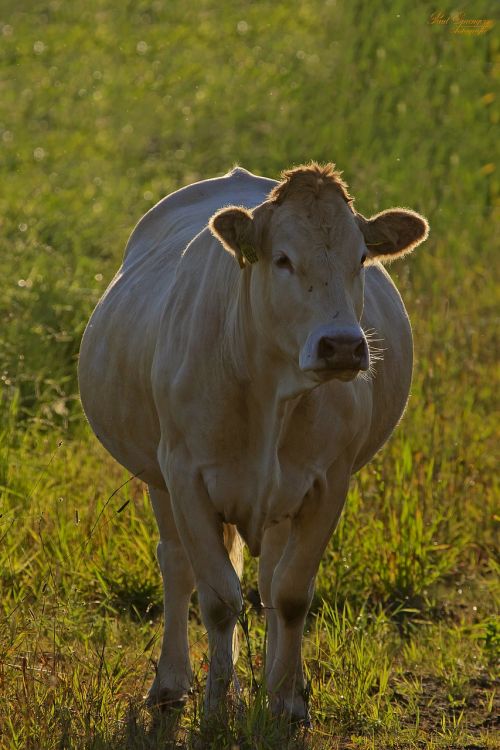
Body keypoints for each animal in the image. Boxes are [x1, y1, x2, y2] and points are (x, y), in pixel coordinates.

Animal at [77, 163, 426, 724]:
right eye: (282, 259)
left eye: (361, 258)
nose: (342, 346)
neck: (271, 392)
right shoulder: (185, 476)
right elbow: (219, 598)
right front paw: (218, 706)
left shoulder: (328, 482)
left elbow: (291, 594)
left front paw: (286, 699)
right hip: (158, 477)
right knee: (177, 566)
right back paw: (172, 683)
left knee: (267, 581)